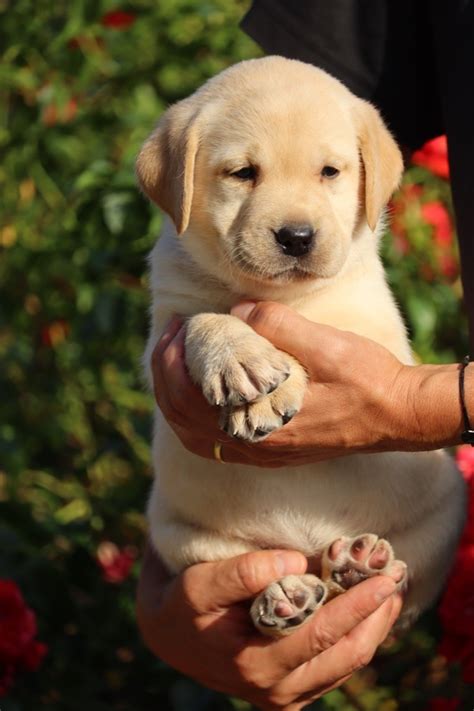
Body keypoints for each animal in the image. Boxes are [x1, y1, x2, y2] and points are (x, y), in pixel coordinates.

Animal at [135, 55, 464, 636]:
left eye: (329, 172)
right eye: (242, 173)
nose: (296, 237)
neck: (275, 294)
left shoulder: (369, 328)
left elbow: (318, 329)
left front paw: (270, 387)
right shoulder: (166, 331)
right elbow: (208, 317)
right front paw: (243, 363)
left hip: (445, 509)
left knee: (400, 586)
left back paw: (357, 565)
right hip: (179, 534)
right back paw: (288, 593)